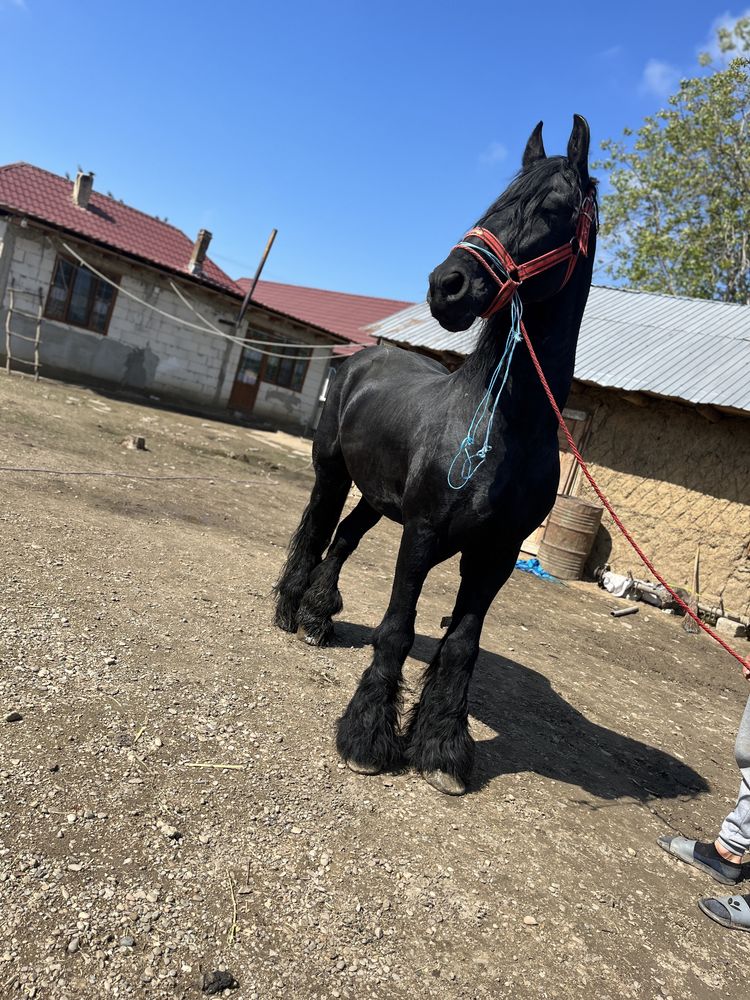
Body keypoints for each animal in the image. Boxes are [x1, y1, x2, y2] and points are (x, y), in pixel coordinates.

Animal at [274, 113, 596, 792]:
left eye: (554, 208)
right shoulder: (421, 535)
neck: (501, 426)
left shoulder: (495, 555)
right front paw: (368, 736)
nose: (447, 286)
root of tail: (359, 359)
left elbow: (461, 647)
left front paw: (443, 747)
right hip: (333, 476)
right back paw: (289, 610)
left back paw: (318, 617)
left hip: (376, 499)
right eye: (495, 202)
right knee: (316, 532)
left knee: (342, 540)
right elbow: (398, 629)